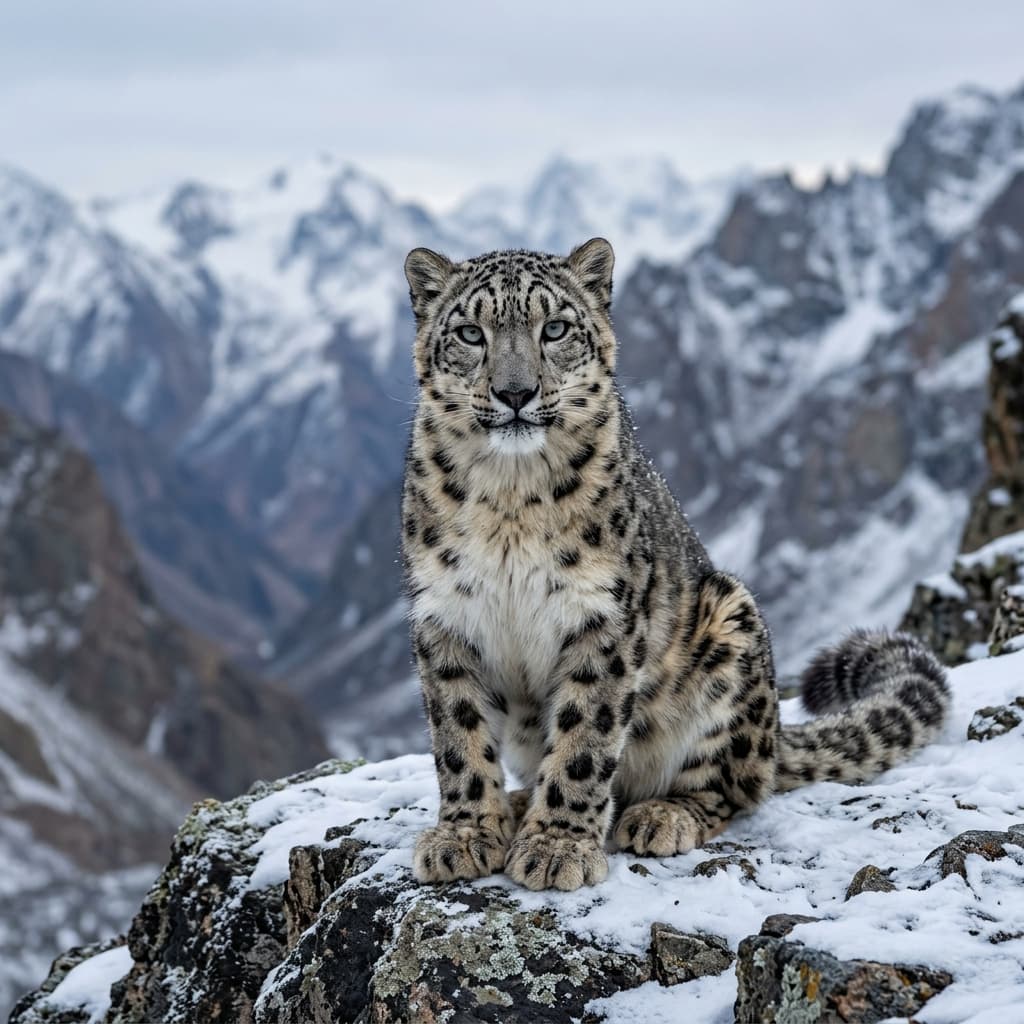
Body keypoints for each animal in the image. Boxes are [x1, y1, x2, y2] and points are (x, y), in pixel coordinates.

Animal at [400, 237, 949, 892]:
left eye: (554, 328)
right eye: (470, 332)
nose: (515, 393)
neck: (509, 501)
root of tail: (774, 734)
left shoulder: (602, 617)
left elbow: (584, 736)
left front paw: (558, 847)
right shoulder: (446, 615)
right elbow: (458, 734)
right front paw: (464, 835)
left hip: (731, 630)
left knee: (733, 786)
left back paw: (660, 815)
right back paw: (517, 803)